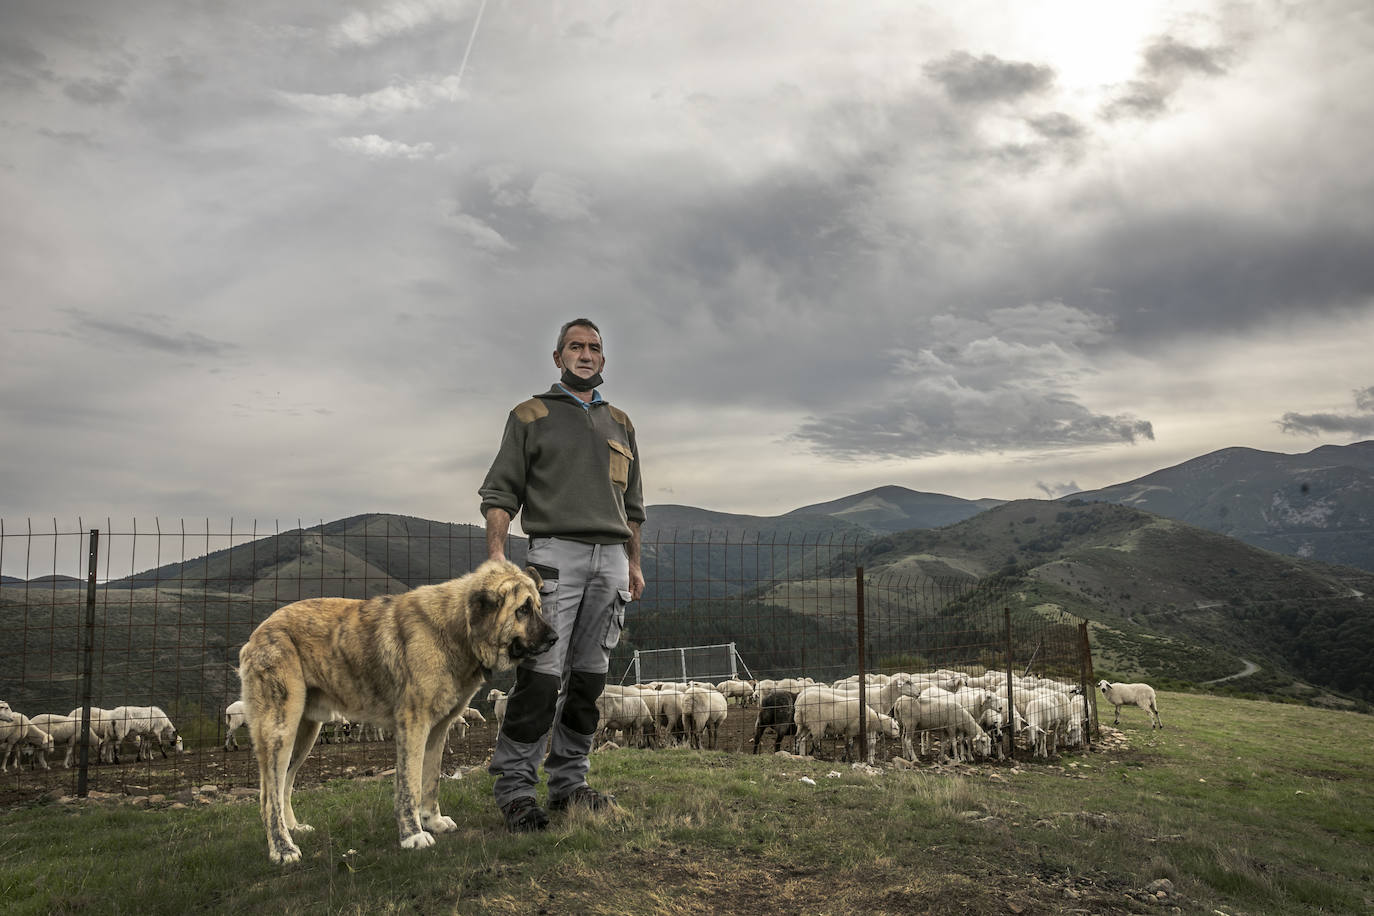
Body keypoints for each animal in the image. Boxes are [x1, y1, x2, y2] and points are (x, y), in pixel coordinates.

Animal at [239, 560, 555, 867]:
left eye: (539, 606)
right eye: (523, 609)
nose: (555, 638)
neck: (454, 629)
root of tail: (256, 634)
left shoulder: (438, 729)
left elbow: (431, 780)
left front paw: (433, 821)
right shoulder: (414, 724)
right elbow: (410, 784)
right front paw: (412, 835)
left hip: (304, 732)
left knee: (284, 783)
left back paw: (293, 829)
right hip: (280, 728)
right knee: (268, 795)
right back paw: (283, 849)